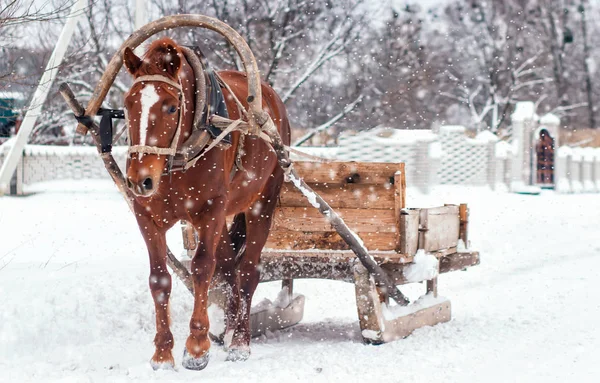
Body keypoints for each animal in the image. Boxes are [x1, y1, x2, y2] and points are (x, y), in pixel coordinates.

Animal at [122, 37, 290, 370]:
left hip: (261, 202)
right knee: (227, 269)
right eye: (127, 104)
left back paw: (240, 342)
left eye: (171, 106)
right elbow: (160, 279)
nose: (139, 179)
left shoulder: (210, 210)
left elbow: (201, 268)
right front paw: (163, 353)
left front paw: (197, 347)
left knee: (247, 271)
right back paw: (228, 331)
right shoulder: (146, 215)